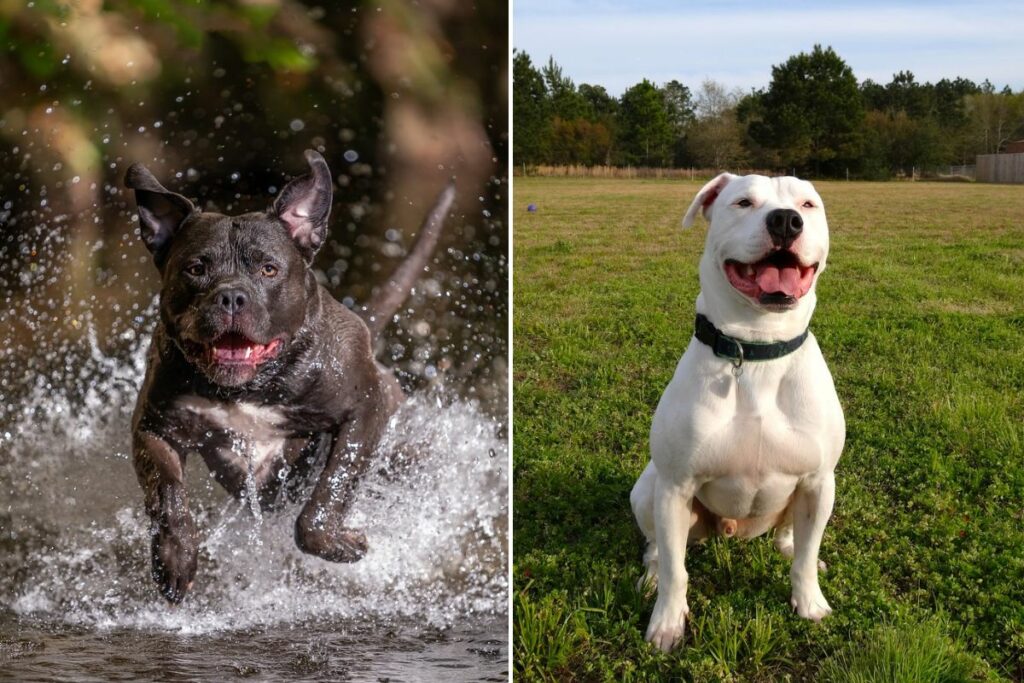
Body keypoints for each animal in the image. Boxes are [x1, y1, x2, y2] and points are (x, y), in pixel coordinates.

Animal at [630, 172, 847, 651]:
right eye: (743, 202)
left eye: (808, 205)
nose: (786, 221)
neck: (759, 347)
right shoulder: (675, 487)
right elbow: (677, 571)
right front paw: (667, 623)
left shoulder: (819, 480)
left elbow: (806, 558)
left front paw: (810, 603)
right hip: (648, 490)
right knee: (658, 549)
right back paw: (651, 576)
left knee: (794, 537)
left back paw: (792, 548)